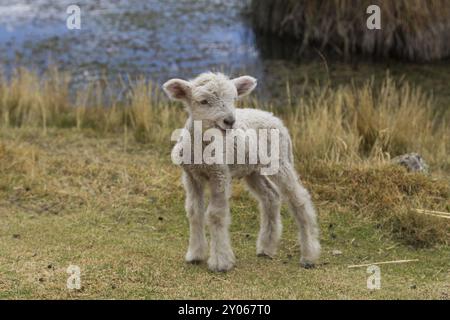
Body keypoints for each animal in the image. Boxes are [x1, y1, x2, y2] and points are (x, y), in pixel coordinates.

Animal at [162, 72, 320, 272]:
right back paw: (266, 247)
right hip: (253, 170)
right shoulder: (191, 175)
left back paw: (309, 255)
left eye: (234, 99)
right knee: (271, 196)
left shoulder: (220, 174)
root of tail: (273, 116)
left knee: (299, 200)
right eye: (204, 101)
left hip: (280, 161)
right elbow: (194, 212)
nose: (230, 121)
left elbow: (215, 214)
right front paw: (195, 254)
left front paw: (220, 262)